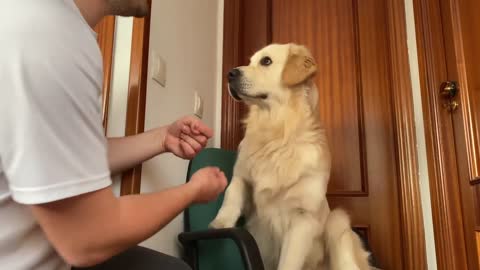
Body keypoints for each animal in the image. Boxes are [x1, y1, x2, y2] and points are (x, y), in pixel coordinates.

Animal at [210, 43, 372, 268]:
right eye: (250, 61)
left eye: (266, 61)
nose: (230, 74)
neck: (277, 134)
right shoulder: (242, 176)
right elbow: (231, 194)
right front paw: (219, 224)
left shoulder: (301, 218)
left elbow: (288, 262)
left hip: (337, 223)